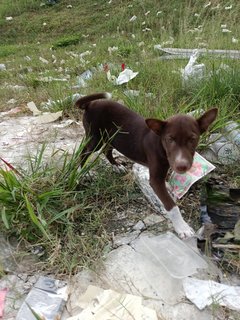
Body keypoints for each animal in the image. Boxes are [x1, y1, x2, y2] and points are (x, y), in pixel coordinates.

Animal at [76, 92, 218, 238]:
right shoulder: (155, 180)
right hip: (95, 137)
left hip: (111, 137)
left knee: (106, 150)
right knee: (83, 153)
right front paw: (182, 227)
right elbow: (172, 206)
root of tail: (90, 104)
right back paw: (81, 173)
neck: (160, 144)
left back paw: (116, 166)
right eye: (170, 139)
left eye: (192, 139)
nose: (181, 166)